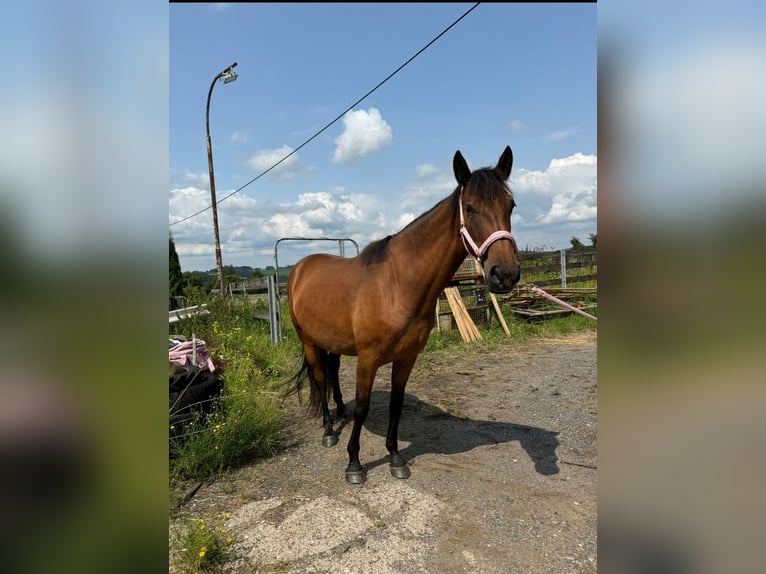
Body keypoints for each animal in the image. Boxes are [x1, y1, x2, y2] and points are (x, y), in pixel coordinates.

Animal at [286, 146, 520, 484]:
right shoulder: (368, 359)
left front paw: (396, 458)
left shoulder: (407, 357)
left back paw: (340, 411)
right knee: (318, 379)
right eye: (470, 207)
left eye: (510, 205)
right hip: (307, 341)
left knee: (332, 373)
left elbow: (396, 406)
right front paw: (354, 465)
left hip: (332, 341)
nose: (505, 274)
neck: (397, 283)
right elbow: (364, 408)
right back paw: (329, 431)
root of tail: (299, 268)